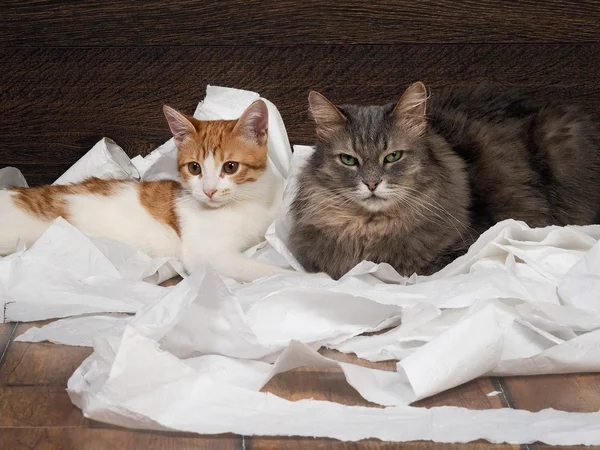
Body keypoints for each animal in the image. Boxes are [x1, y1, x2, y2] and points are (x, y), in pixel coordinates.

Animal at [0, 100, 290, 284]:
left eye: (230, 167)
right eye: (194, 168)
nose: (208, 191)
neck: (247, 201)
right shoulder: (208, 255)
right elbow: (263, 269)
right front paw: (297, 276)